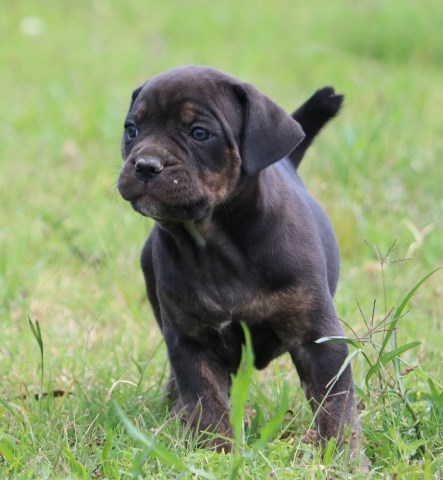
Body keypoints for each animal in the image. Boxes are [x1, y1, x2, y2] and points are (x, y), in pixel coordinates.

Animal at [118, 65, 360, 452]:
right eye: (132, 129)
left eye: (200, 133)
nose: (144, 165)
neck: (215, 241)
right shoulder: (190, 341)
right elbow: (208, 401)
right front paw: (220, 451)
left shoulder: (318, 339)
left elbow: (336, 407)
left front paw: (342, 456)